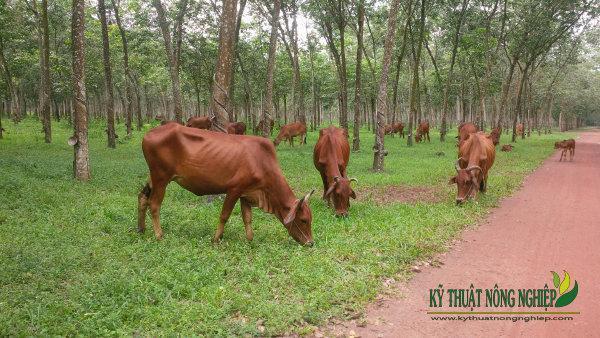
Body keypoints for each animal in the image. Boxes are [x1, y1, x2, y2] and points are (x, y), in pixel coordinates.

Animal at [139, 123, 316, 246]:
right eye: (303, 220)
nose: (311, 243)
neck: (261, 162)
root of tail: (148, 134)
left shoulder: (247, 194)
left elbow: (247, 218)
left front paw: (250, 239)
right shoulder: (234, 190)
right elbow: (224, 215)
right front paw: (216, 239)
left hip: (153, 177)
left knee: (142, 198)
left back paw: (141, 230)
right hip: (161, 178)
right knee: (154, 205)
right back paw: (159, 235)